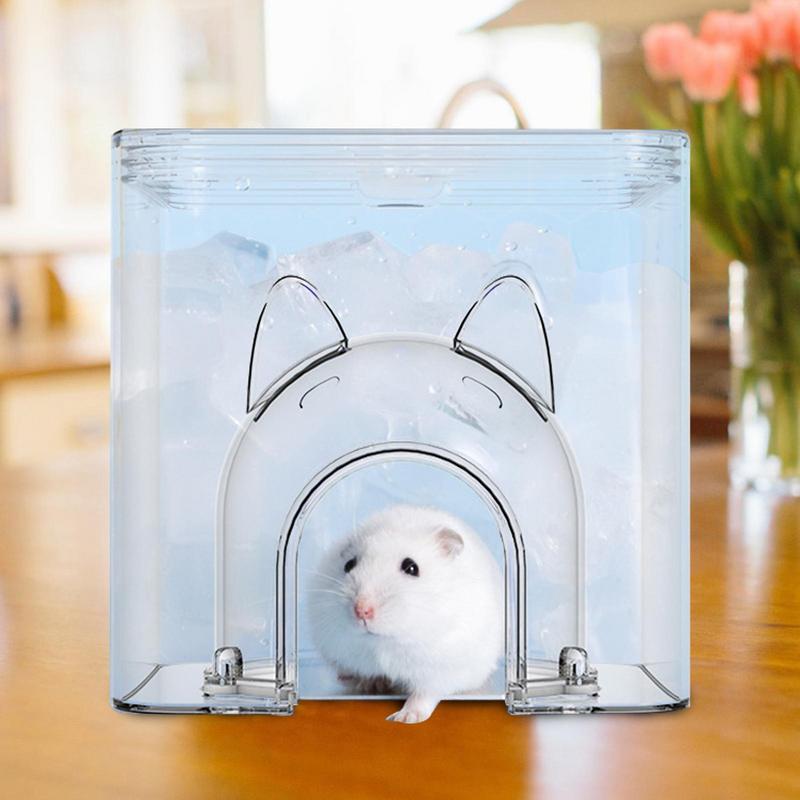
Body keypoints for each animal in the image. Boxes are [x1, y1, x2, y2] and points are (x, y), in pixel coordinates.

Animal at [308, 504, 503, 724]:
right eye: (348, 565)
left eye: (411, 567)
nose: (361, 610)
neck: (386, 640)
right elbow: (369, 674)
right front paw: (371, 686)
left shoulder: (441, 670)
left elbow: (424, 694)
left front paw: (403, 718)